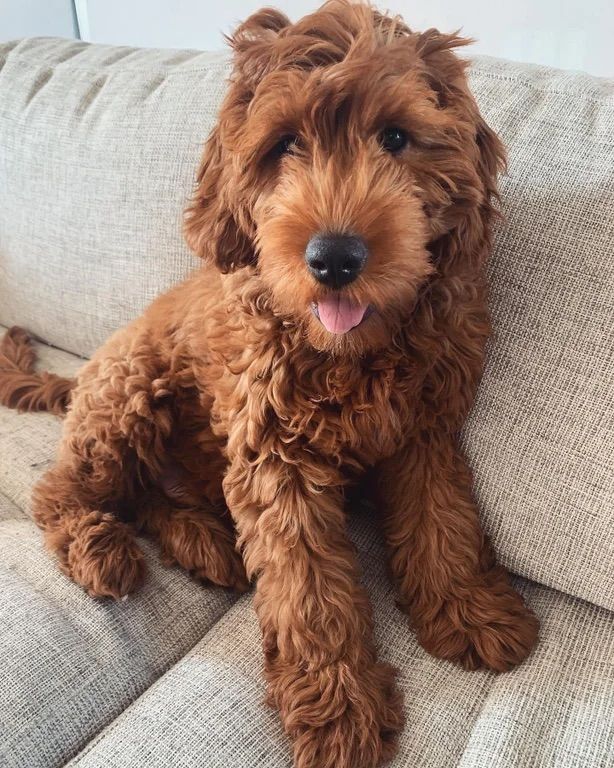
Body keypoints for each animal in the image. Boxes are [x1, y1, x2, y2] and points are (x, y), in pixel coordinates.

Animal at [0, 3, 540, 764]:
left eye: (395, 137)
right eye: (285, 145)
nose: (335, 257)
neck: (349, 350)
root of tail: (79, 380)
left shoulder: (423, 429)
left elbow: (445, 517)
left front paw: (466, 610)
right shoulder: (275, 457)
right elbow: (306, 588)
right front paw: (339, 711)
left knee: (145, 494)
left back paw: (204, 544)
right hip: (128, 393)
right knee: (61, 489)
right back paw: (99, 549)